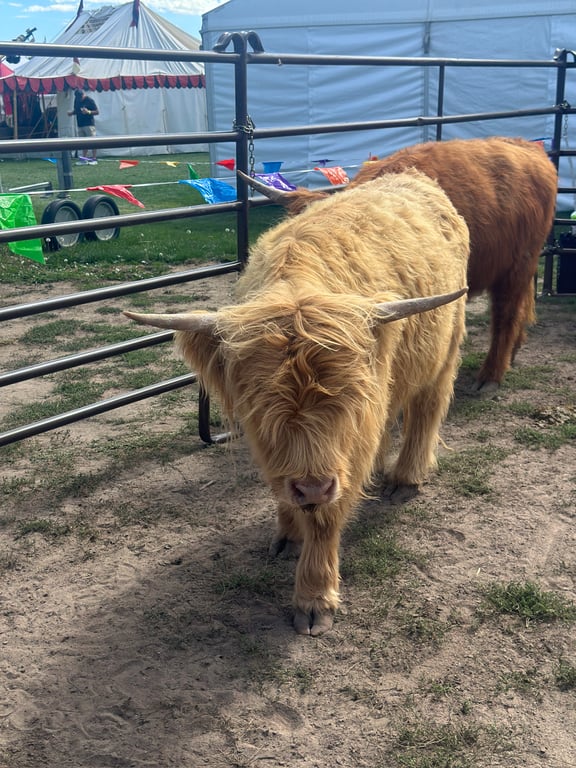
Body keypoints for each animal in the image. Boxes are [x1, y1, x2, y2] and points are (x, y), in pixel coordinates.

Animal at [124, 171, 469, 636]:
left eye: (348, 399)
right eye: (261, 404)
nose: (313, 486)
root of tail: (414, 177)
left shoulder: (343, 451)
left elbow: (327, 516)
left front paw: (314, 598)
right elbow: (284, 488)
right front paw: (288, 535)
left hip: (445, 348)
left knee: (427, 408)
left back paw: (405, 479)